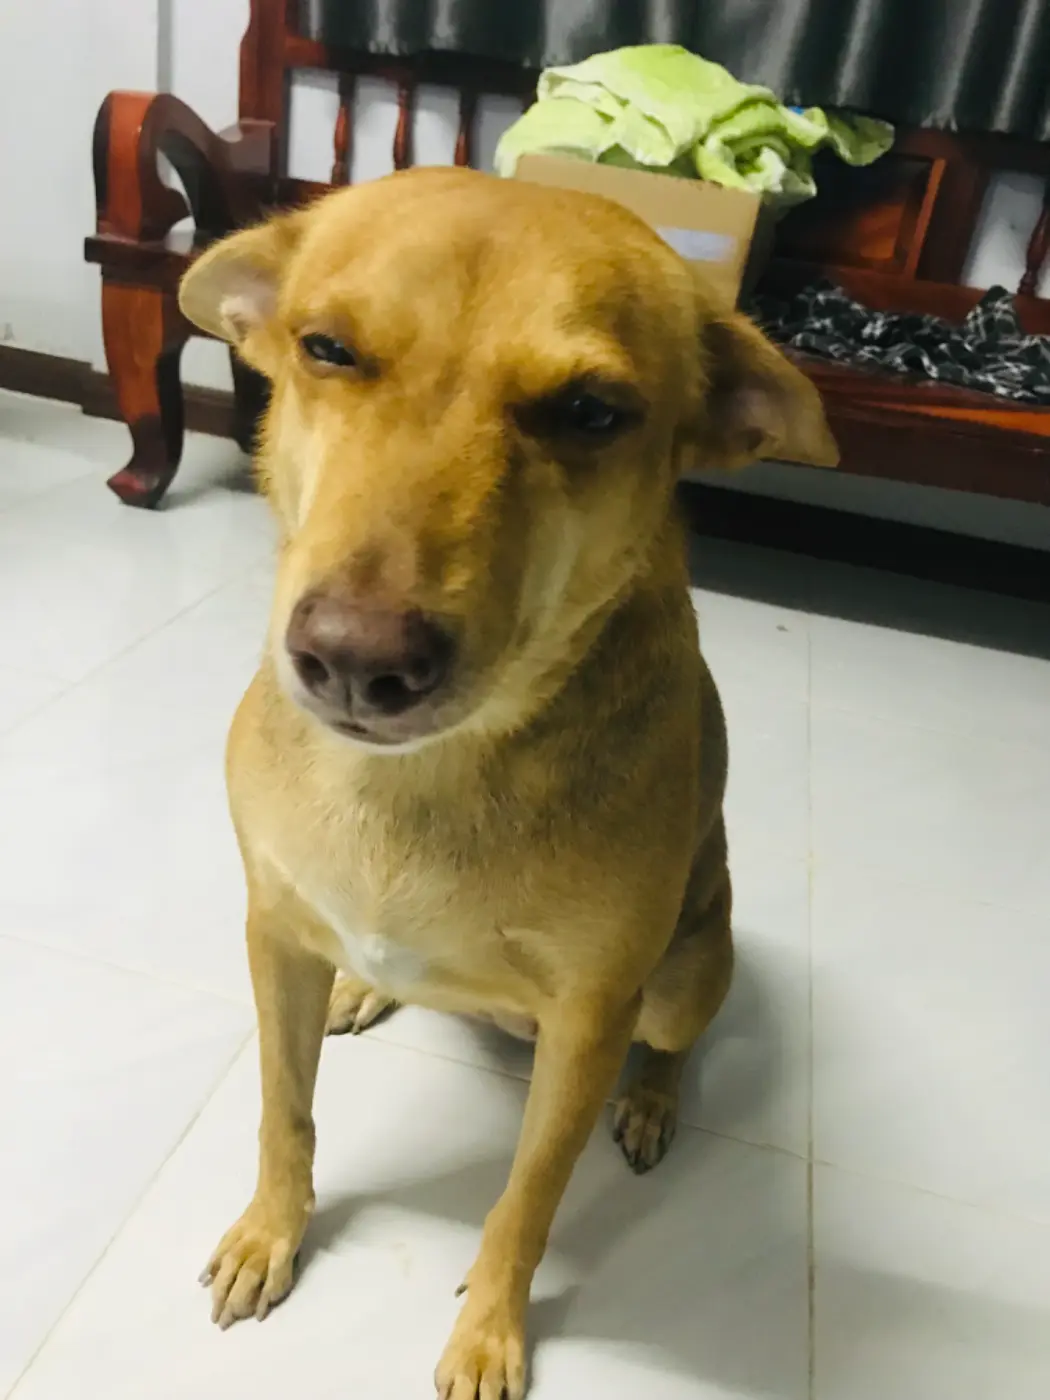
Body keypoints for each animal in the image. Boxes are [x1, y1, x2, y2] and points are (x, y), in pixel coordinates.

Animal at [178, 165, 835, 1400]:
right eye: (326, 347)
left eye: (592, 412)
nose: (355, 659)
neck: (415, 782)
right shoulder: (271, 930)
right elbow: (284, 1109)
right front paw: (269, 1229)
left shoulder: (587, 1022)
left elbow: (526, 1202)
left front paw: (490, 1329)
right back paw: (366, 988)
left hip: (689, 966)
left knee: (676, 1042)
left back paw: (651, 1105)